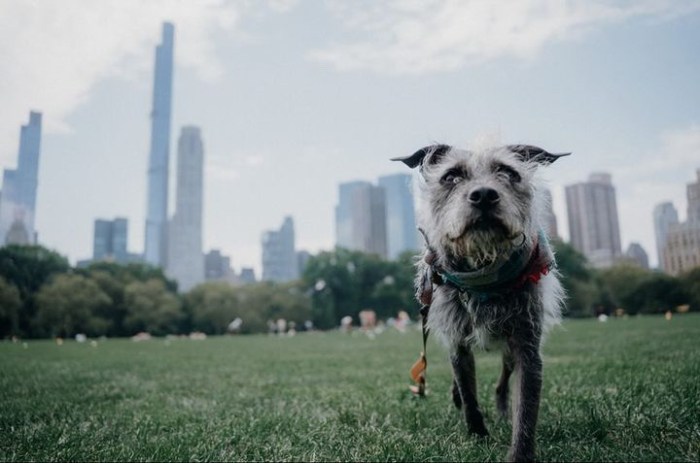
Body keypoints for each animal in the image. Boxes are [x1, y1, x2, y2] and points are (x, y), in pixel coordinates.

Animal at [394, 143, 568, 463]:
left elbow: (526, 410)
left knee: (502, 382)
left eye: (509, 173)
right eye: (450, 177)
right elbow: (468, 393)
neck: (483, 276)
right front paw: (478, 435)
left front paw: (520, 454)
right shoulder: (458, 342)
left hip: (509, 351)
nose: (484, 194)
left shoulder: (527, 347)